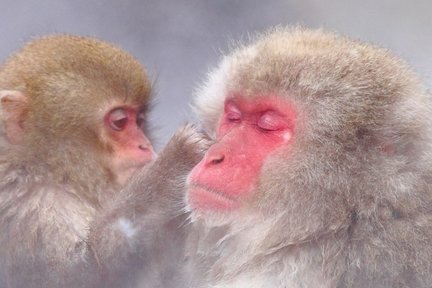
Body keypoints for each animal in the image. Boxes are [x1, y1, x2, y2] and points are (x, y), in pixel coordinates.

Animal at [0, 35, 205, 288]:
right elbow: (85, 273)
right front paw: (174, 162)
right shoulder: (30, 210)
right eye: (119, 121)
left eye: (139, 120)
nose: (145, 145)